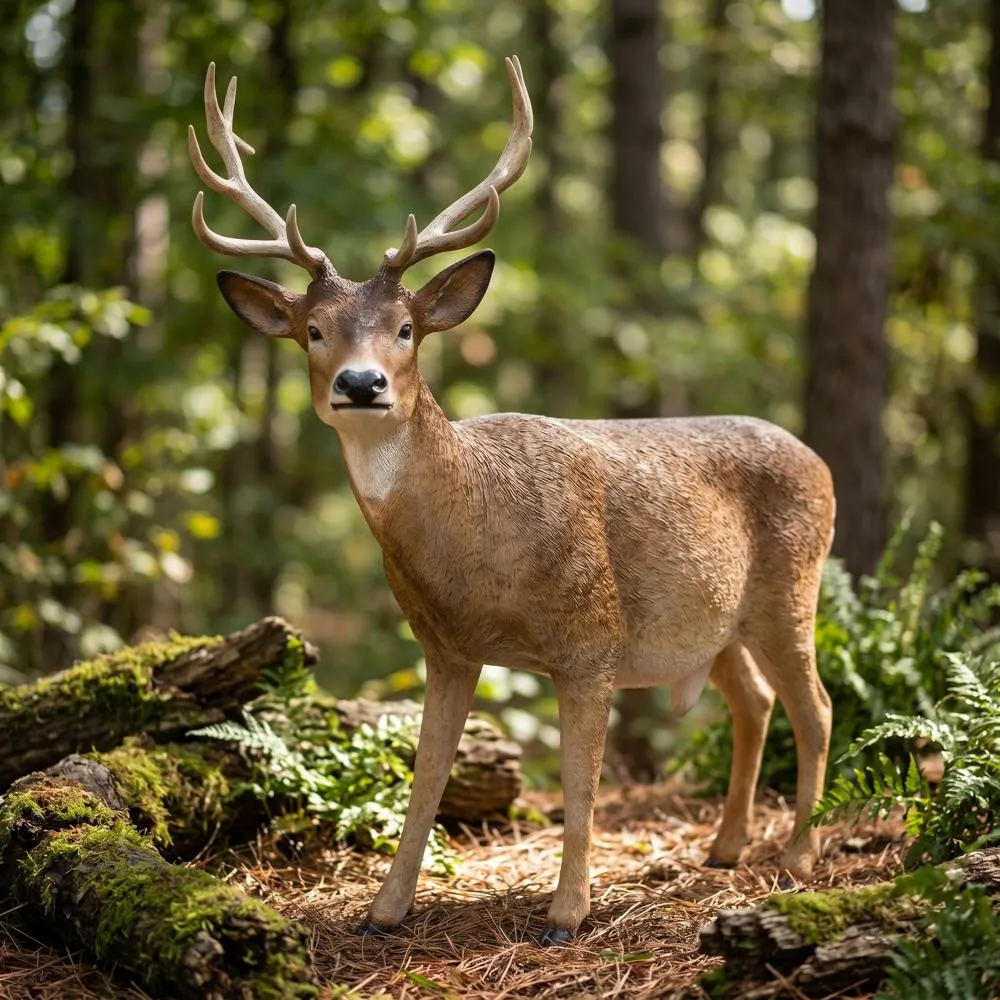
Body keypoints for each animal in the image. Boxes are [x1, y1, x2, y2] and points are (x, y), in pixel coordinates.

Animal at [188, 57, 836, 946]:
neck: (478, 544)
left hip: (789, 586)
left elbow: (577, 784)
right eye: (313, 330)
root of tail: (820, 460)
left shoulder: (591, 638)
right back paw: (726, 848)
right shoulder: (444, 646)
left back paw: (799, 858)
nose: (362, 384)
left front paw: (566, 915)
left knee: (817, 706)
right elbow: (425, 777)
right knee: (756, 702)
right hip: (719, 620)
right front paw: (383, 910)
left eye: (405, 329)